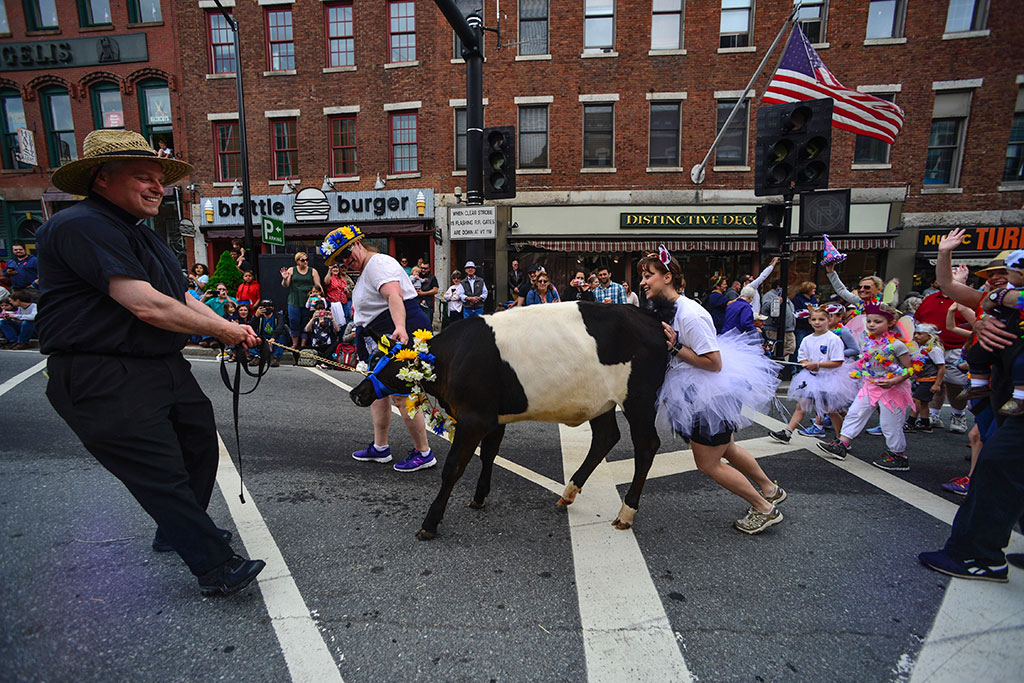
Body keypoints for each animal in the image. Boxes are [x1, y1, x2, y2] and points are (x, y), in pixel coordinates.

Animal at [350, 300, 671, 540]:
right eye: (377, 359)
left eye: (391, 365)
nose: (358, 393)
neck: (452, 357)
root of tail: (648, 316)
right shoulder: (494, 418)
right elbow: (489, 454)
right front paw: (479, 497)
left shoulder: (474, 419)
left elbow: (453, 468)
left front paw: (430, 522)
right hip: (600, 402)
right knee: (605, 437)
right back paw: (568, 494)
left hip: (638, 399)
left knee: (646, 445)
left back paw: (626, 512)